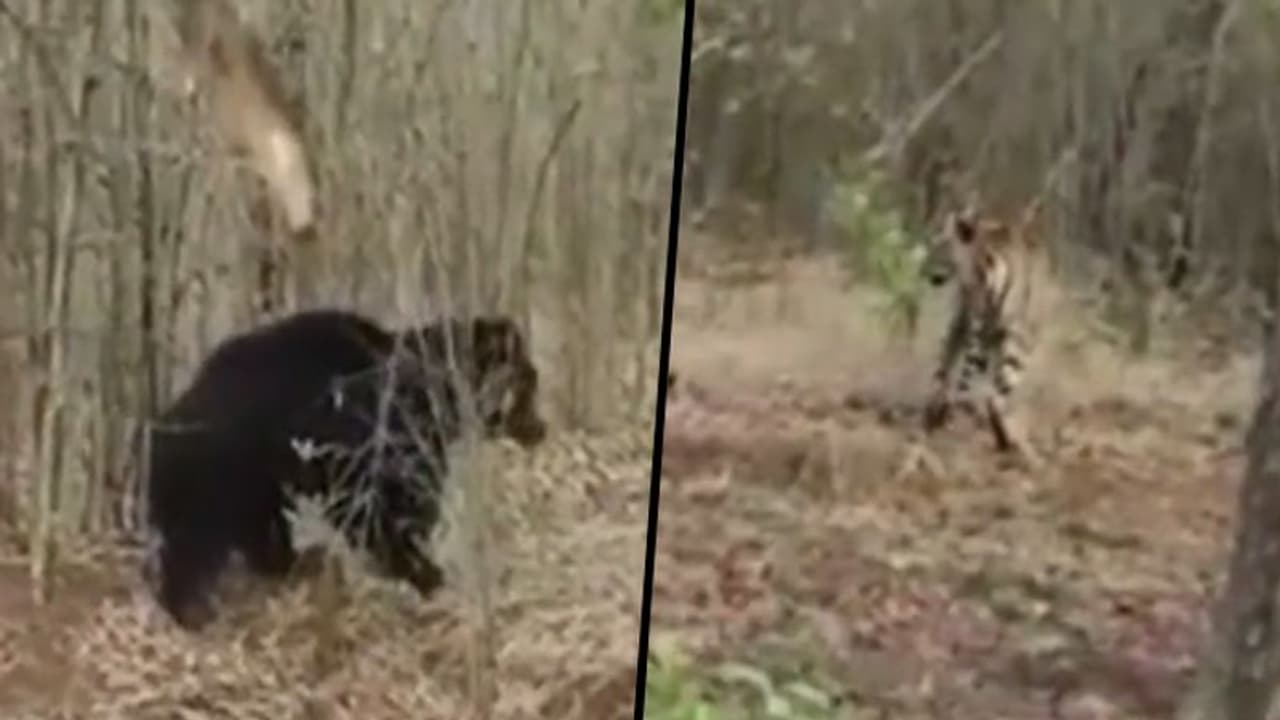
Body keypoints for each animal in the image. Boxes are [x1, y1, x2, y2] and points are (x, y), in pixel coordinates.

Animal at [141, 309, 546, 629]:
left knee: (257, 531)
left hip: (250, 484)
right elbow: (382, 510)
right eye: (527, 381)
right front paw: (422, 570)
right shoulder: (371, 442)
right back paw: (191, 609)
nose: (540, 429)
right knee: (198, 541)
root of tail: (160, 429)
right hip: (219, 475)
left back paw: (295, 563)